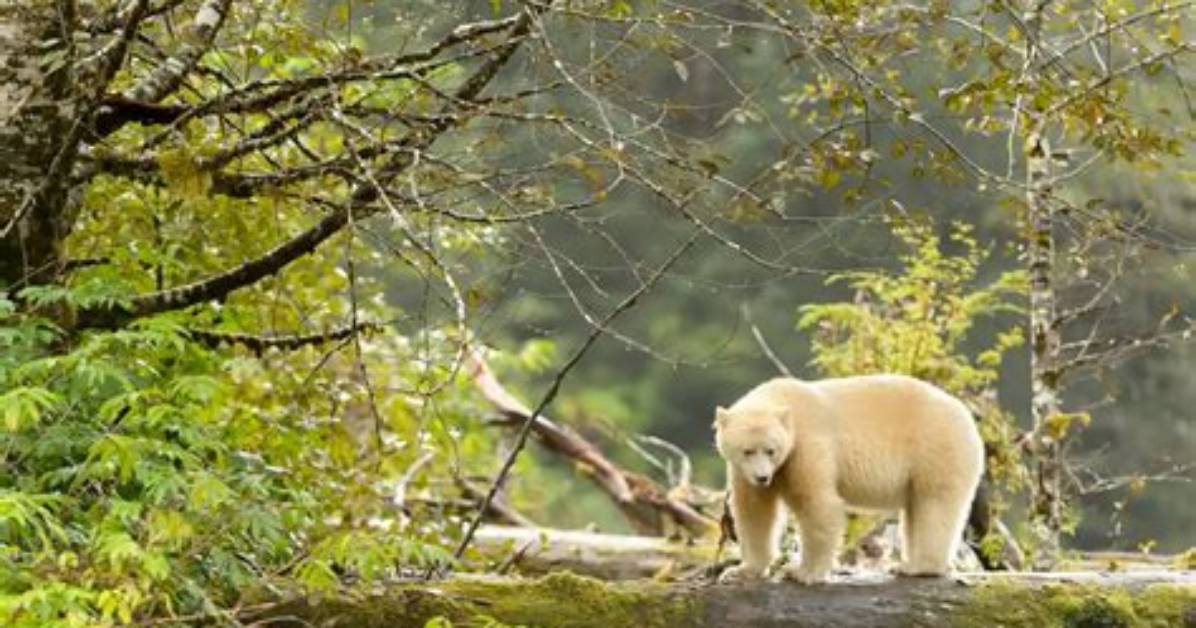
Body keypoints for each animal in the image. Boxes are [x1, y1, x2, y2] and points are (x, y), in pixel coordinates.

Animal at [713, 374, 983, 584]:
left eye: (771, 450)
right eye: (747, 451)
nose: (762, 477)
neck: (785, 400)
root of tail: (967, 418)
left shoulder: (806, 446)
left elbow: (818, 503)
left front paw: (803, 573)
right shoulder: (745, 471)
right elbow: (754, 512)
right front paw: (740, 571)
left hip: (936, 448)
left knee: (935, 504)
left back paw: (918, 567)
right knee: (917, 508)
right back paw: (908, 564)